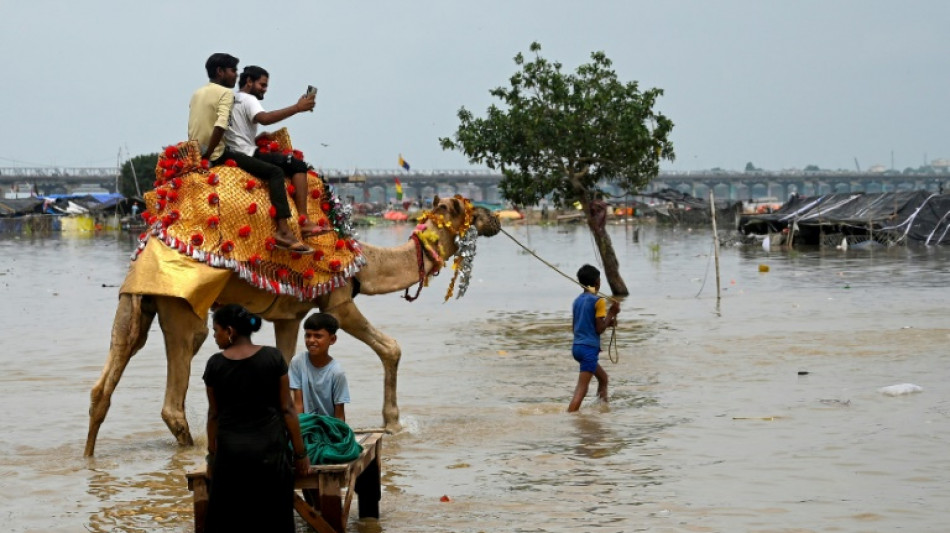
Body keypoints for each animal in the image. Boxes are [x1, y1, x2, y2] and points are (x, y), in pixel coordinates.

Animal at [84, 135, 502, 456]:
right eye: (466, 209)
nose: (496, 218)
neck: (363, 260)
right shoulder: (338, 299)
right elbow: (391, 347)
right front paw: (394, 423)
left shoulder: (289, 314)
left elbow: (284, 367)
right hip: (181, 308)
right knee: (174, 398)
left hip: (136, 303)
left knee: (106, 378)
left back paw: (89, 455)